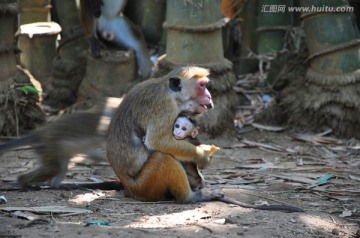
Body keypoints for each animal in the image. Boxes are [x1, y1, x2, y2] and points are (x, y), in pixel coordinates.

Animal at [106, 65, 219, 203]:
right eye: (202, 85)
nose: (209, 96)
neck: (171, 93)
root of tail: (127, 187)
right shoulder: (165, 106)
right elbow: (157, 141)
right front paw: (202, 157)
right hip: (143, 186)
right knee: (163, 158)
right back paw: (190, 197)